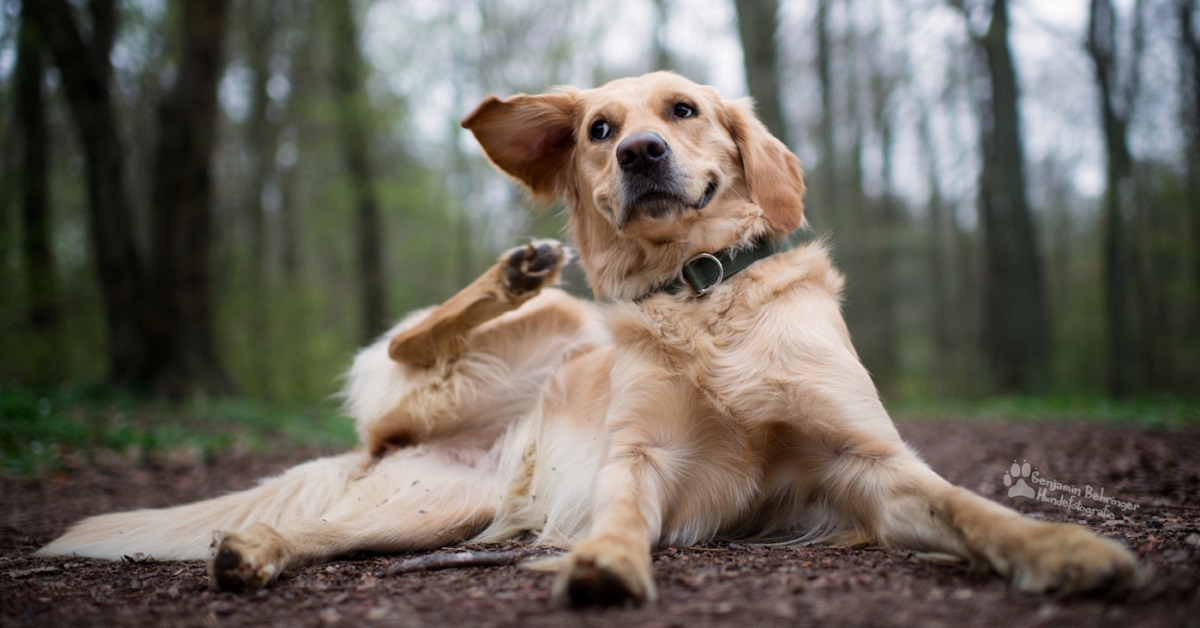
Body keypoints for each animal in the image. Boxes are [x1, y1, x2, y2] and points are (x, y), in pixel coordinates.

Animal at [42, 72, 1137, 605]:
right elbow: (617, 510)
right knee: (407, 347)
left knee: (322, 529)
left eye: (684, 111)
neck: (699, 293)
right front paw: (605, 562)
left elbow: (972, 510)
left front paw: (1064, 549)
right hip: (547, 335)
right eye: (599, 129)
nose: (643, 151)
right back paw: (514, 272)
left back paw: (256, 551)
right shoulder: (637, 453)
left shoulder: (871, 464)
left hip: (433, 508)